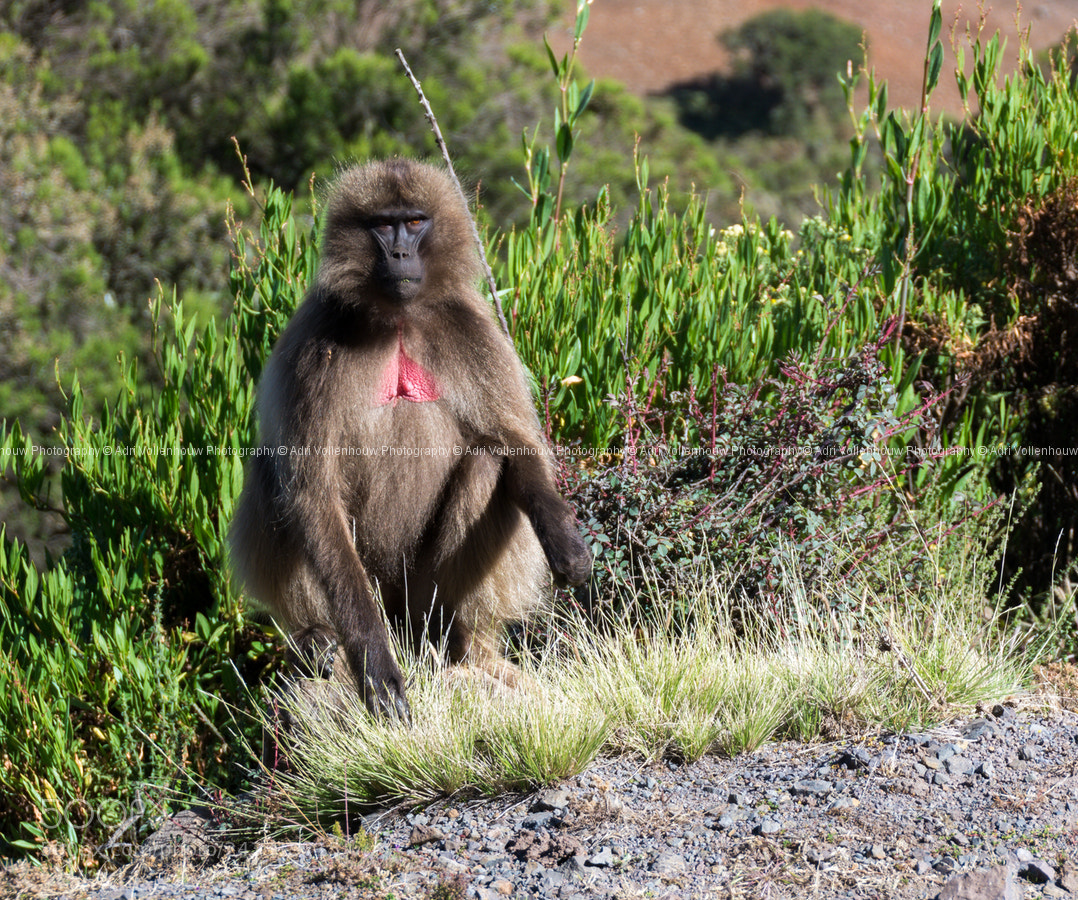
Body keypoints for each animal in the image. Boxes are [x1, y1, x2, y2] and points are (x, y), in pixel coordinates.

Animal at [229, 159, 592, 723]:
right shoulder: (315, 339)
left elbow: (515, 442)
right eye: (382, 224)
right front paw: (374, 664)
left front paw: (564, 538)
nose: (400, 254)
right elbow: (312, 491)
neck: (399, 319)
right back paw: (318, 640)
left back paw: (466, 648)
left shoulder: (470, 328)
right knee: (274, 473)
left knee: (488, 462)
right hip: (381, 595)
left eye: (416, 221)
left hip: (421, 600)